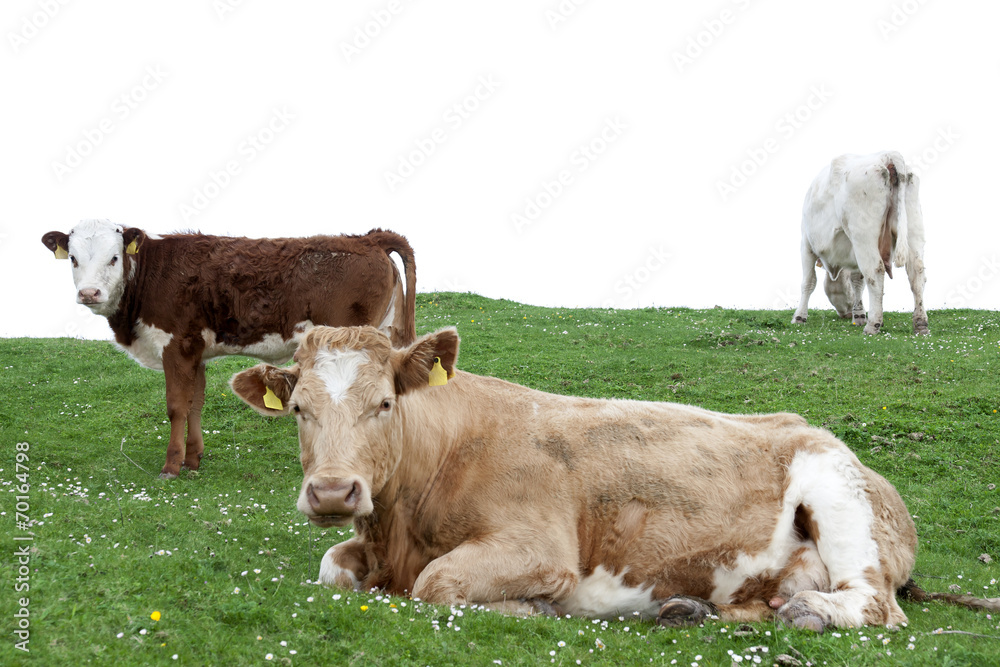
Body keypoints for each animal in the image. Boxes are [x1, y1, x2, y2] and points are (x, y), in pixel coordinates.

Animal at [230, 328, 996, 632]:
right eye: (298, 408)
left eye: (385, 403)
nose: (334, 492)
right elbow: (333, 566)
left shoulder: (539, 548)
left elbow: (436, 584)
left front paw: (530, 609)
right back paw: (691, 609)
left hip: (835, 490)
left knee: (874, 603)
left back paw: (809, 611)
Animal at [792, 153, 924, 336]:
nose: (847, 314)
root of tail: (886, 156)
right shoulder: (853, 253)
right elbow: (858, 281)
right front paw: (859, 315)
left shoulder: (806, 244)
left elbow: (808, 281)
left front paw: (799, 317)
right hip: (913, 229)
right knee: (916, 272)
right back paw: (920, 323)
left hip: (863, 236)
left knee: (875, 271)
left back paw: (873, 324)